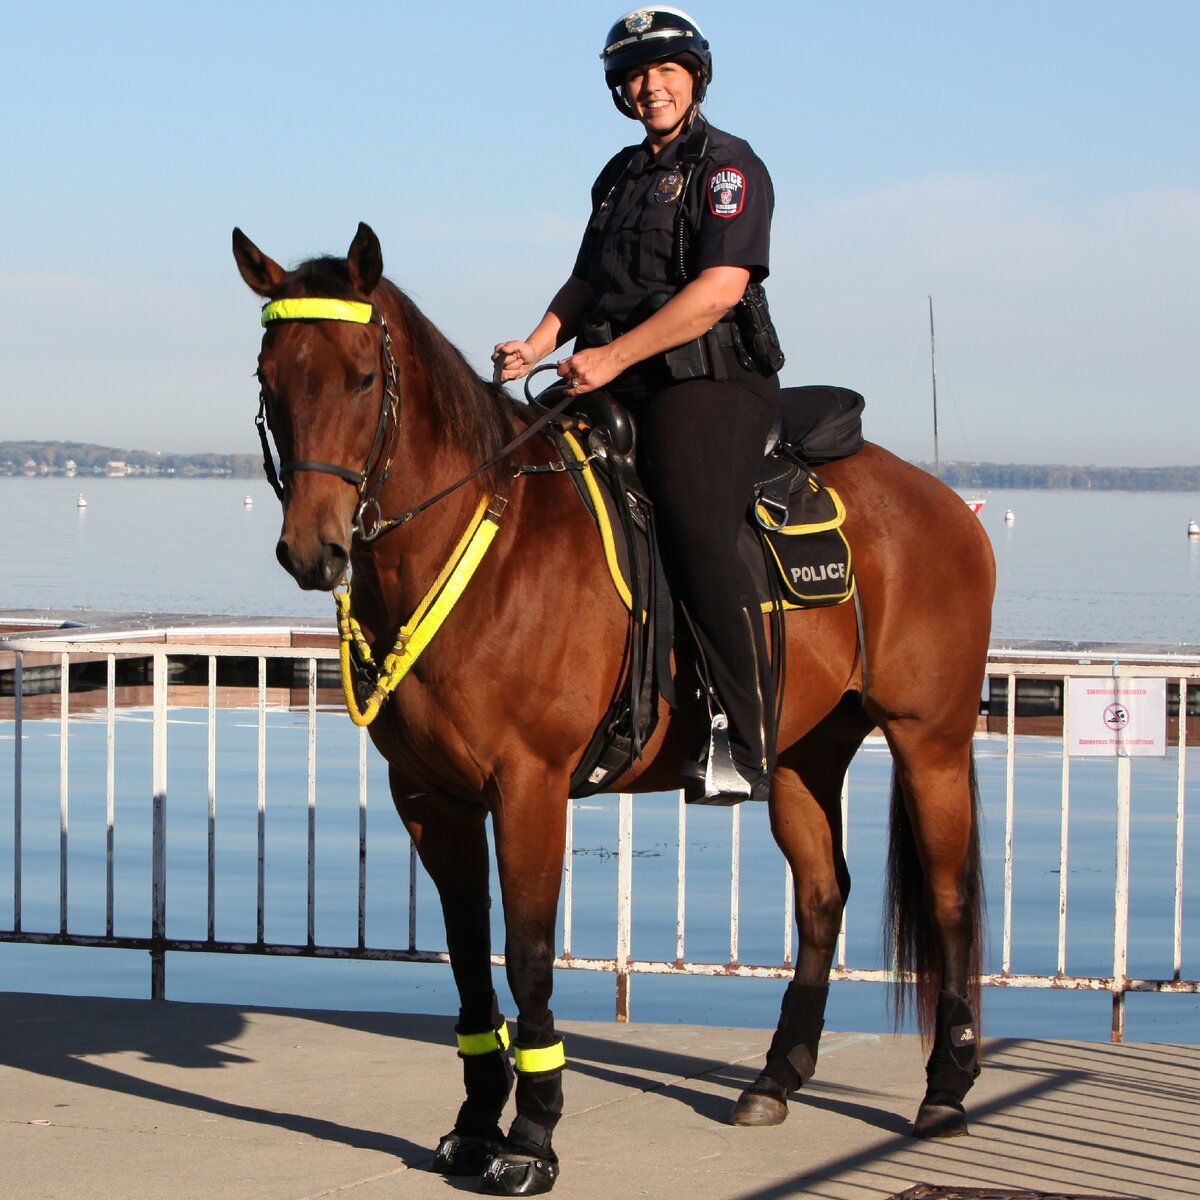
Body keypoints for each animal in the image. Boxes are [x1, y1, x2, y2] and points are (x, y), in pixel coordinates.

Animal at [231, 223, 993, 1190]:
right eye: (270, 377)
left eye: (364, 375)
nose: (313, 548)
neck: (489, 539)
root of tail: (944, 501)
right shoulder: (431, 799)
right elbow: (469, 956)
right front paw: (476, 1122)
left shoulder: (529, 787)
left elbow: (526, 954)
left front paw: (532, 1135)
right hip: (801, 755)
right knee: (824, 893)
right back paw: (776, 1077)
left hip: (929, 740)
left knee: (949, 898)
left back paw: (947, 1088)